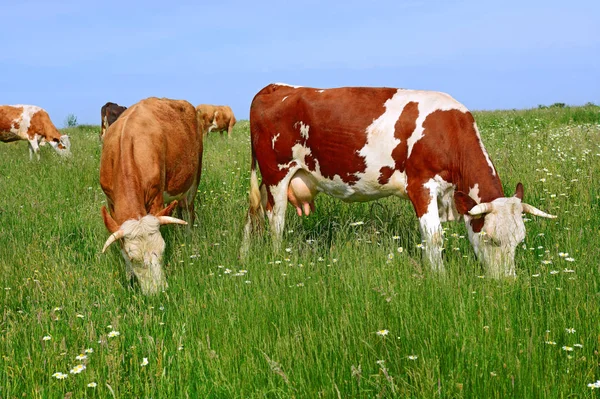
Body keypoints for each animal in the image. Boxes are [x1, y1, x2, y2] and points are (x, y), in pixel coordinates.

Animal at [97, 97, 203, 294]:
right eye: (134, 258)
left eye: (162, 250)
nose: (158, 292)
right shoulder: (111, 202)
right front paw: (129, 276)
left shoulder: (156, 198)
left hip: (194, 177)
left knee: (188, 212)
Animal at [240, 83, 556, 280]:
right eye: (491, 239)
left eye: (520, 241)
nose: (507, 282)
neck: (448, 132)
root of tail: (276, 87)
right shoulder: (421, 186)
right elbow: (434, 237)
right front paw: (439, 278)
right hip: (277, 175)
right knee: (276, 221)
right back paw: (279, 260)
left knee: (253, 215)